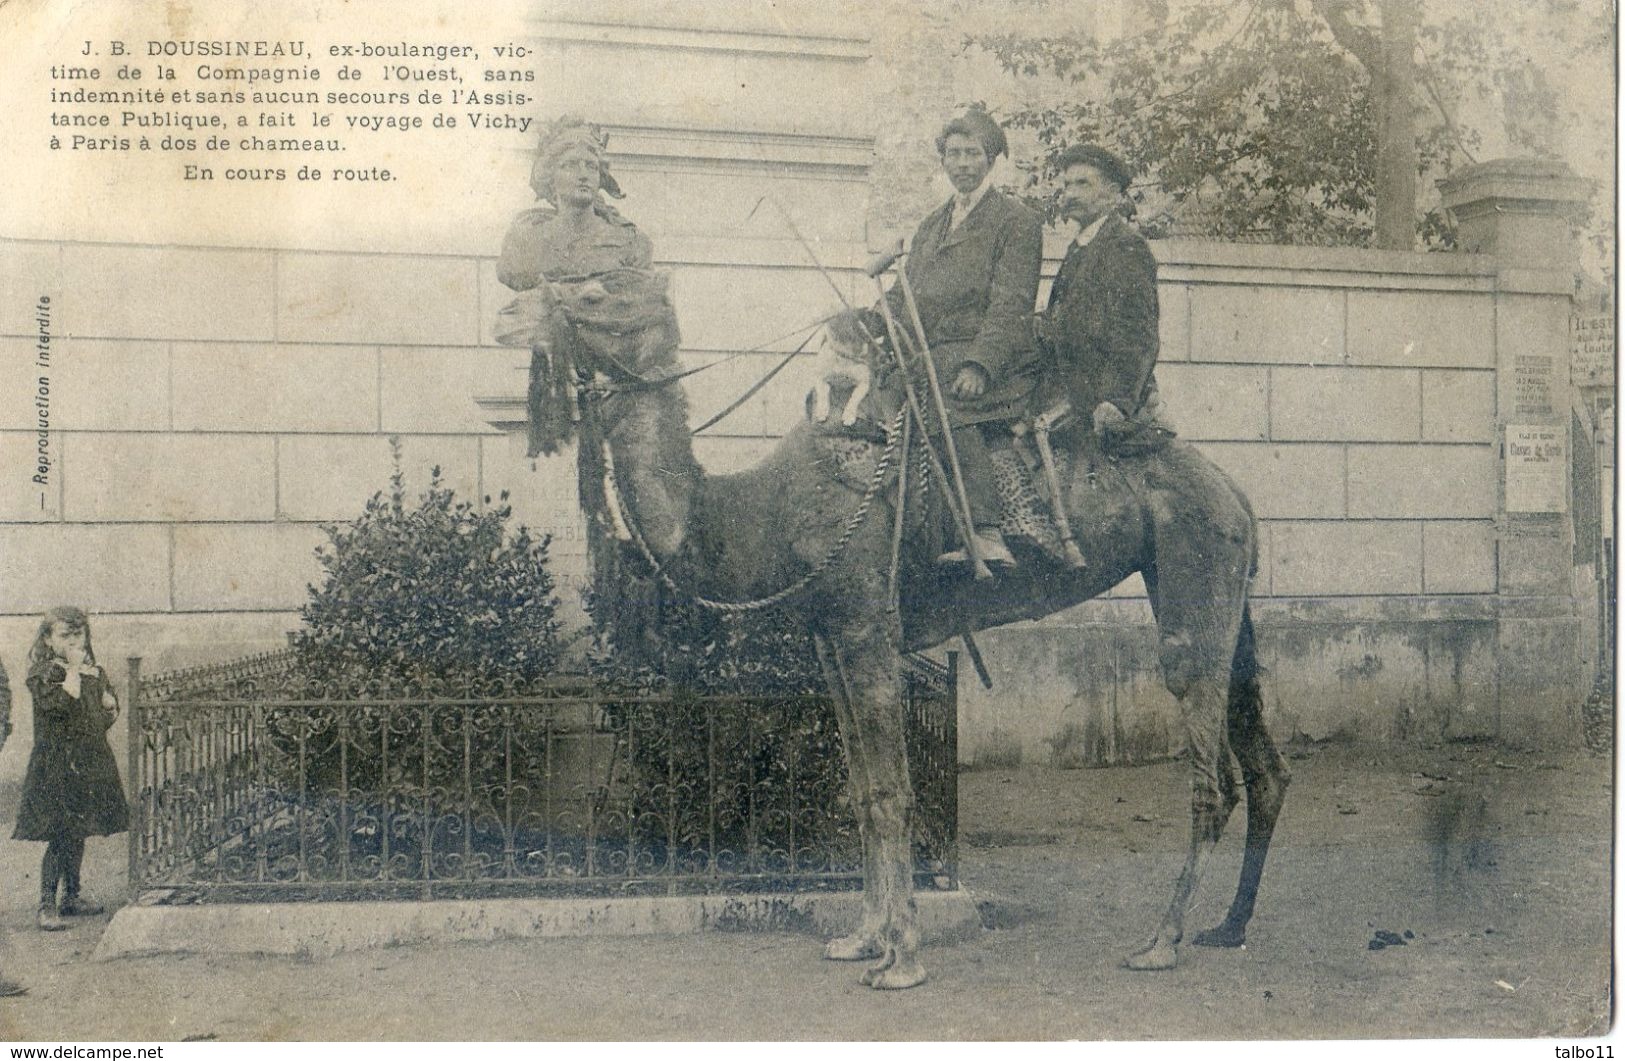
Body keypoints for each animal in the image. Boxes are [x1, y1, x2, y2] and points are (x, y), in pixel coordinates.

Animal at [539, 269, 1287, 987]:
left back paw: (1160, 942)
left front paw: (900, 958)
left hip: (1192, 576)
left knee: (1209, 773)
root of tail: (1234, 489)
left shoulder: (866, 622)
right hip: (1223, 589)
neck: (755, 512)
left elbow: (892, 792)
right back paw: (1228, 926)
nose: (537, 303)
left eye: (596, 290)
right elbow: (864, 790)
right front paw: (861, 938)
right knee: (1264, 767)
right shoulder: (831, 636)